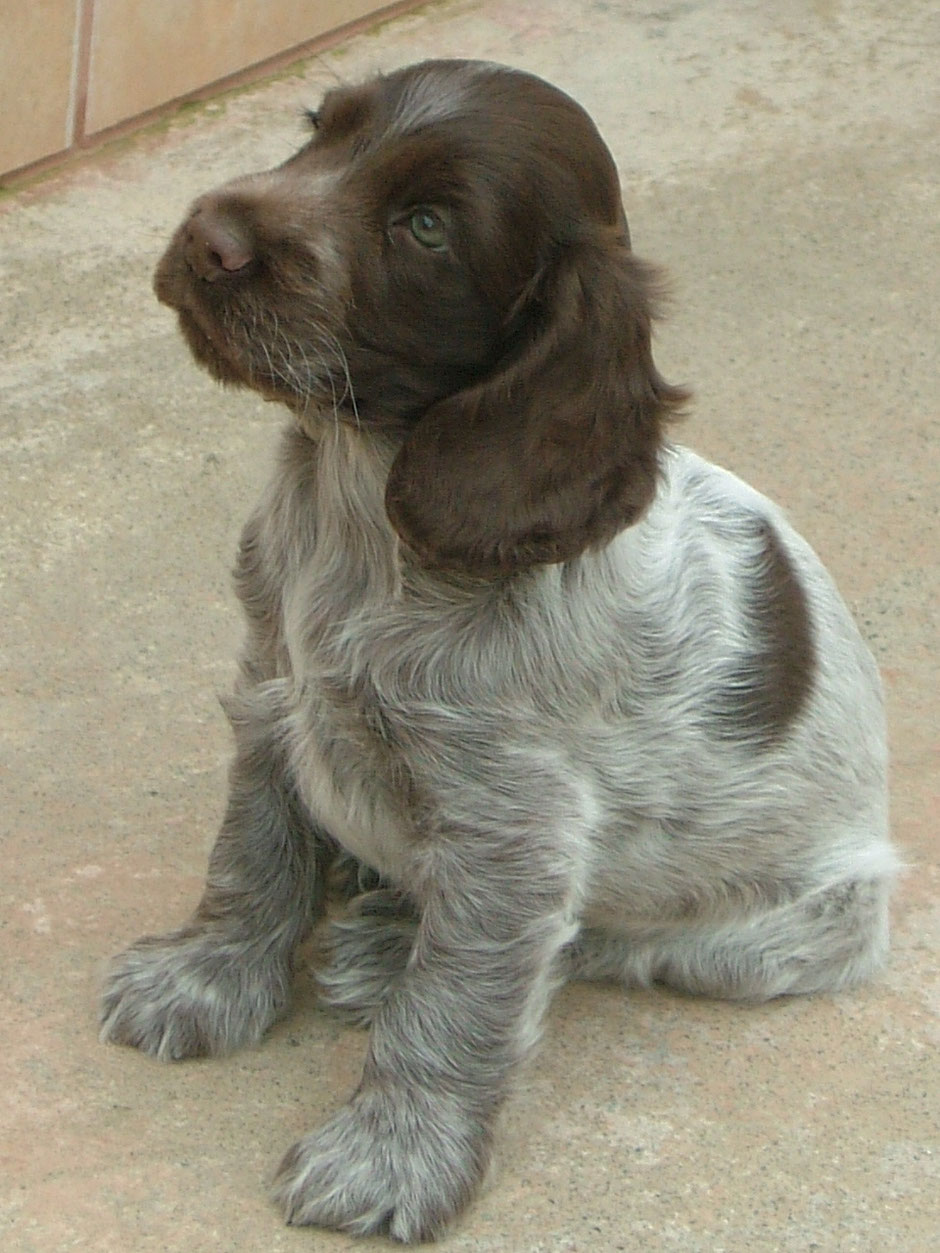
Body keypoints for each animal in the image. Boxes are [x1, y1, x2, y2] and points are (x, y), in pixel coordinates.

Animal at [101, 61, 897, 1242]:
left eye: (427, 227)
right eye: (319, 130)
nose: (208, 239)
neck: (357, 497)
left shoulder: (512, 822)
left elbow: (459, 999)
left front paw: (391, 1156)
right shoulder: (271, 690)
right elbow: (251, 854)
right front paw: (206, 978)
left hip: (785, 927)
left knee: (607, 940)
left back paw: (392, 942)